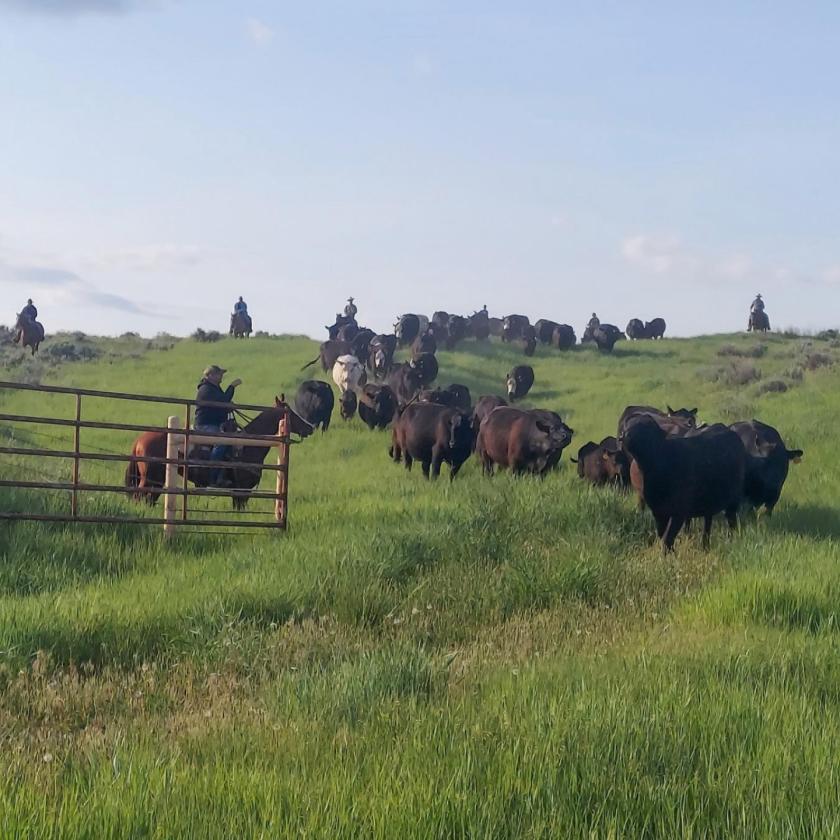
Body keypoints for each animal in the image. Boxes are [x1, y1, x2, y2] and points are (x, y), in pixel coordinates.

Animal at [124, 397, 313, 508]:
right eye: (290, 413)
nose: (309, 428)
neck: (248, 446)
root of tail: (139, 440)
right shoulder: (242, 490)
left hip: (156, 481)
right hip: (150, 479)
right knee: (140, 496)